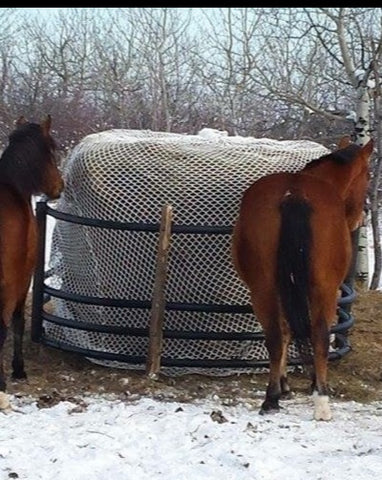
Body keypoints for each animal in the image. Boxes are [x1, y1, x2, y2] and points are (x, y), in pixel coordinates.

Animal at [233, 136, 374, 420]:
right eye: (368, 175)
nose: (361, 216)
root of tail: (295, 193)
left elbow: (287, 330)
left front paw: (284, 384)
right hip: (324, 290)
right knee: (319, 334)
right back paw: (319, 400)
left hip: (264, 289)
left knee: (276, 336)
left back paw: (272, 399)